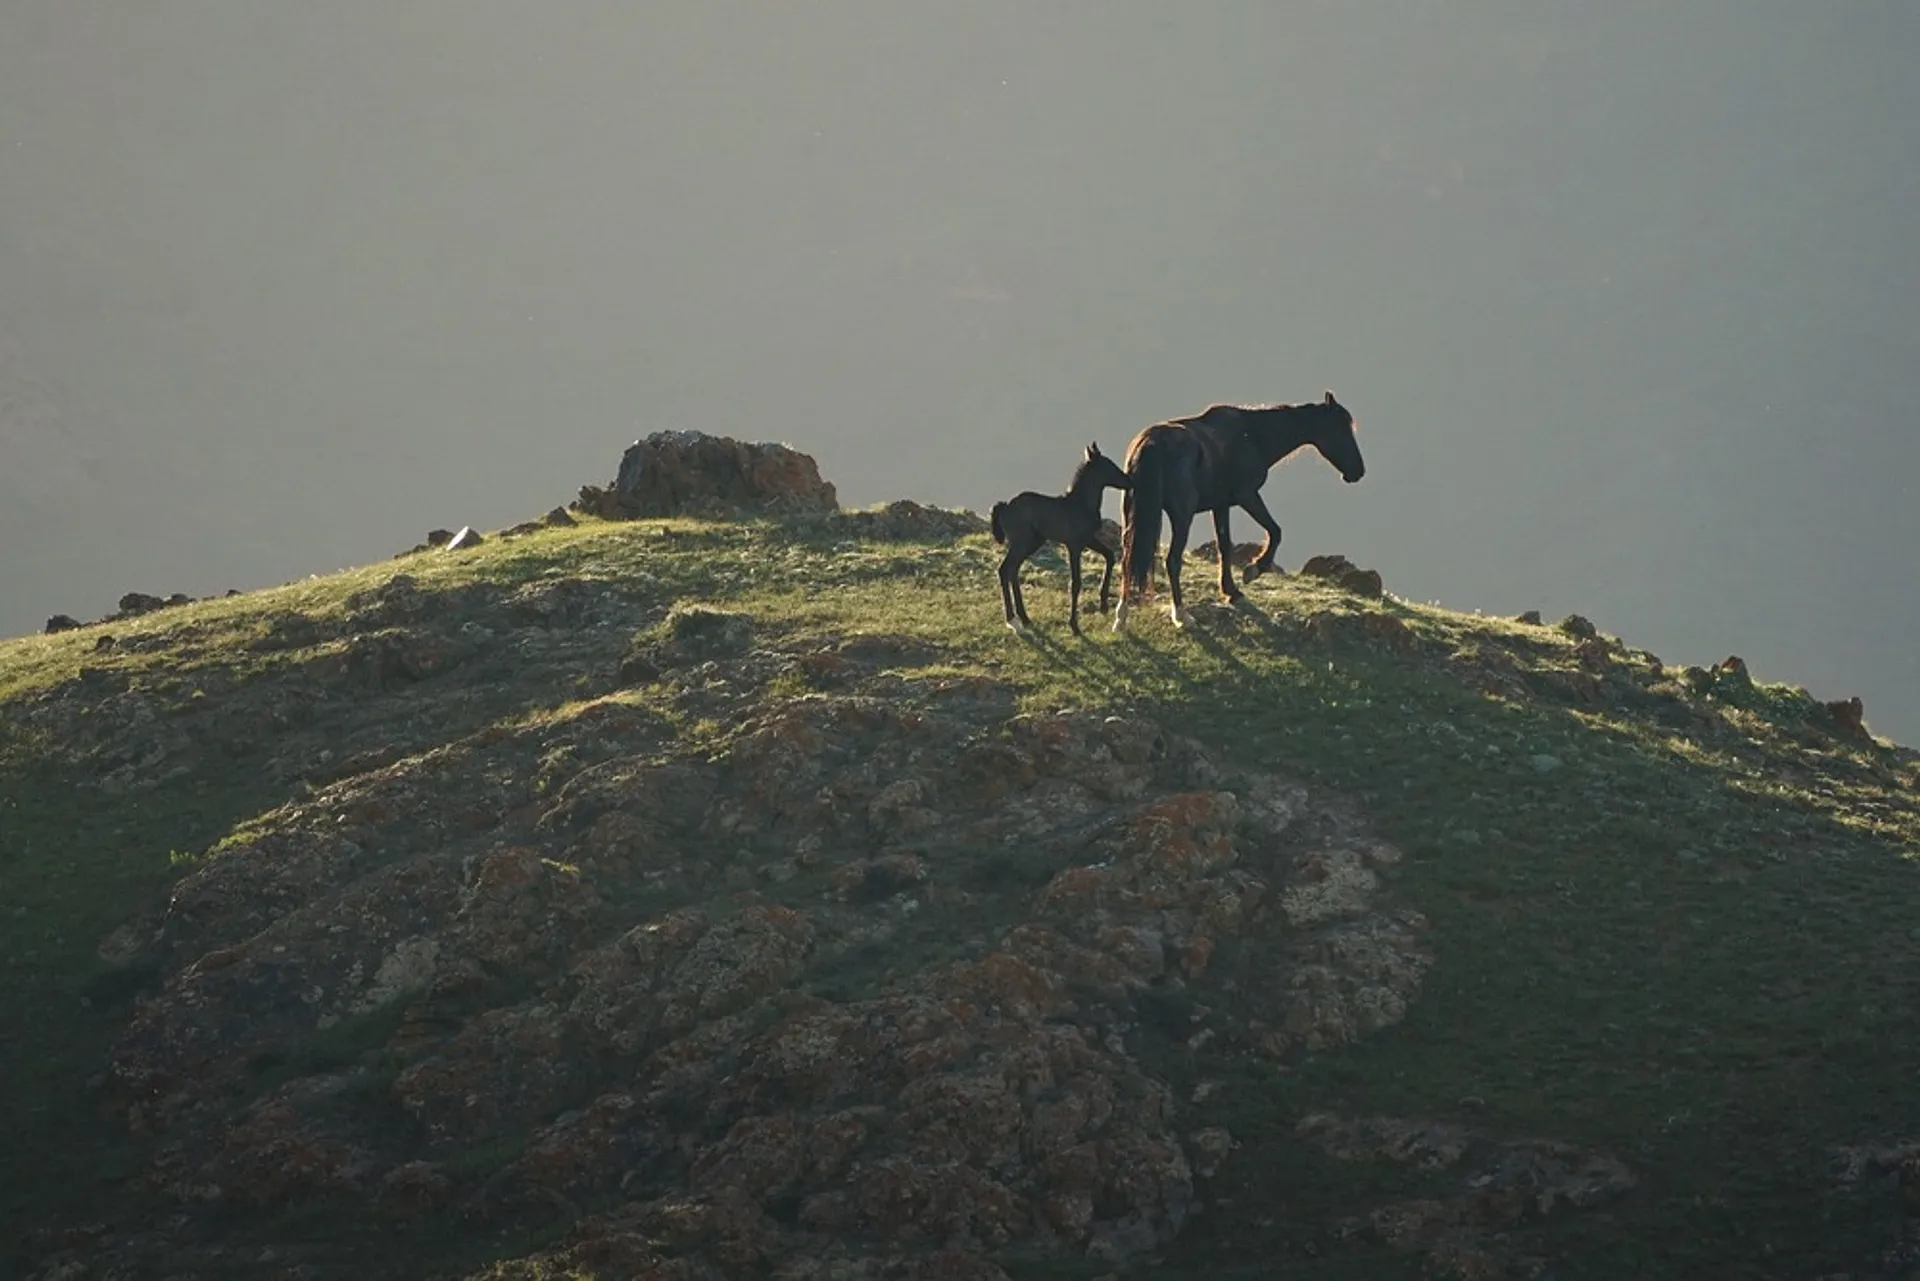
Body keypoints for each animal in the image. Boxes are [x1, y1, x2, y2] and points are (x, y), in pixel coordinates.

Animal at [990, 442, 1133, 634]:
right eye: (1108, 465)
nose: (1129, 481)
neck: (1080, 504)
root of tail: (1005, 507)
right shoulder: (1074, 545)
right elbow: (1075, 583)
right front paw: (1074, 625)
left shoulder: (1088, 539)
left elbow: (1109, 556)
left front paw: (1103, 605)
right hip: (1021, 543)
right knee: (1004, 570)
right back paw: (1013, 621)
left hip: (1032, 543)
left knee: (1013, 570)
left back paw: (1025, 618)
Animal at [1113, 391, 1365, 631]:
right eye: (1341, 430)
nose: (1358, 471)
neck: (1252, 436)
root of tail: (1149, 445)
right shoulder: (1247, 495)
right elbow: (1275, 531)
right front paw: (1254, 569)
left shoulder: (1221, 505)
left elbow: (1225, 546)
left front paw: (1231, 591)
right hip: (1182, 516)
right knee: (1172, 560)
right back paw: (1182, 615)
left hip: (1132, 512)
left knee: (1127, 556)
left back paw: (1121, 617)